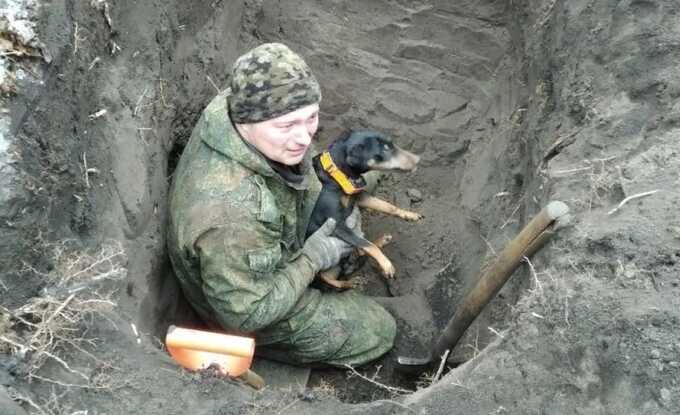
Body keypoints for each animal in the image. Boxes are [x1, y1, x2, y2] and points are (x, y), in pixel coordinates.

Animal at [306, 130, 422, 290]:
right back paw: (351, 282)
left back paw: (382, 240)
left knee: (359, 251)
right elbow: (367, 244)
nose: (418, 159)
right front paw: (387, 265)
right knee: (331, 281)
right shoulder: (336, 224)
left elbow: (388, 206)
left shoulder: (360, 196)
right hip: (324, 273)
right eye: (385, 149)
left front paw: (408, 214)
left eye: (391, 144)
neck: (337, 174)